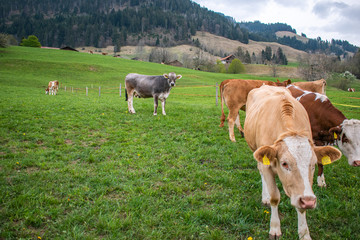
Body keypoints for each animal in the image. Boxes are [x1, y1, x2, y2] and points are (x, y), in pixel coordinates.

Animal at [245, 85, 340, 239]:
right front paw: (275, 228)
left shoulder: (301, 191)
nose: (309, 201)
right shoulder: (267, 164)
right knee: (260, 171)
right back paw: (265, 196)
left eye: (313, 165)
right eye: (284, 163)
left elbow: (300, 208)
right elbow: (274, 197)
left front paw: (304, 233)